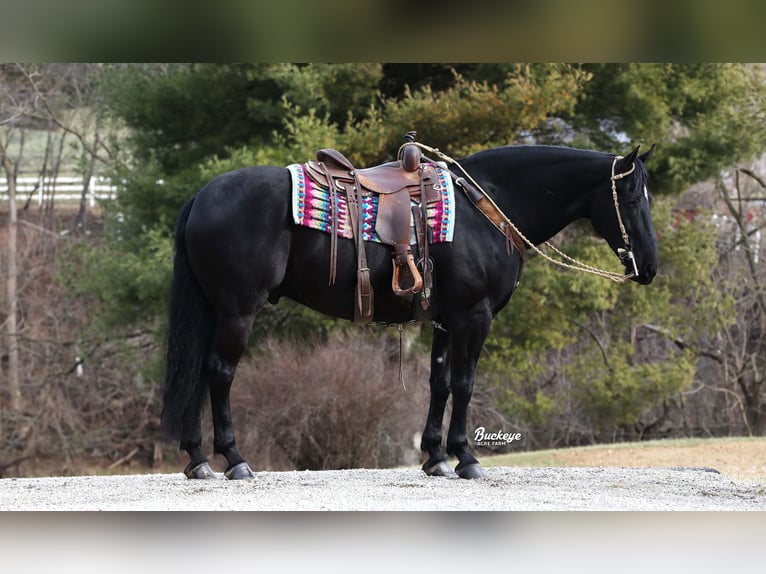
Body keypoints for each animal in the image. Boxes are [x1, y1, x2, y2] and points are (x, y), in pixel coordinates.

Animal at [160, 143, 660, 482]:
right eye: (634, 199)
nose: (650, 267)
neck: (486, 207)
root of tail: (202, 196)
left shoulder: (445, 320)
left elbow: (439, 383)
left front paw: (436, 458)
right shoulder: (474, 317)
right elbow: (465, 383)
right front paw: (467, 459)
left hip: (214, 310)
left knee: (198, 373)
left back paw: (198, 461)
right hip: (237, 311)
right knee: (219, 373)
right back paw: (234, 460)